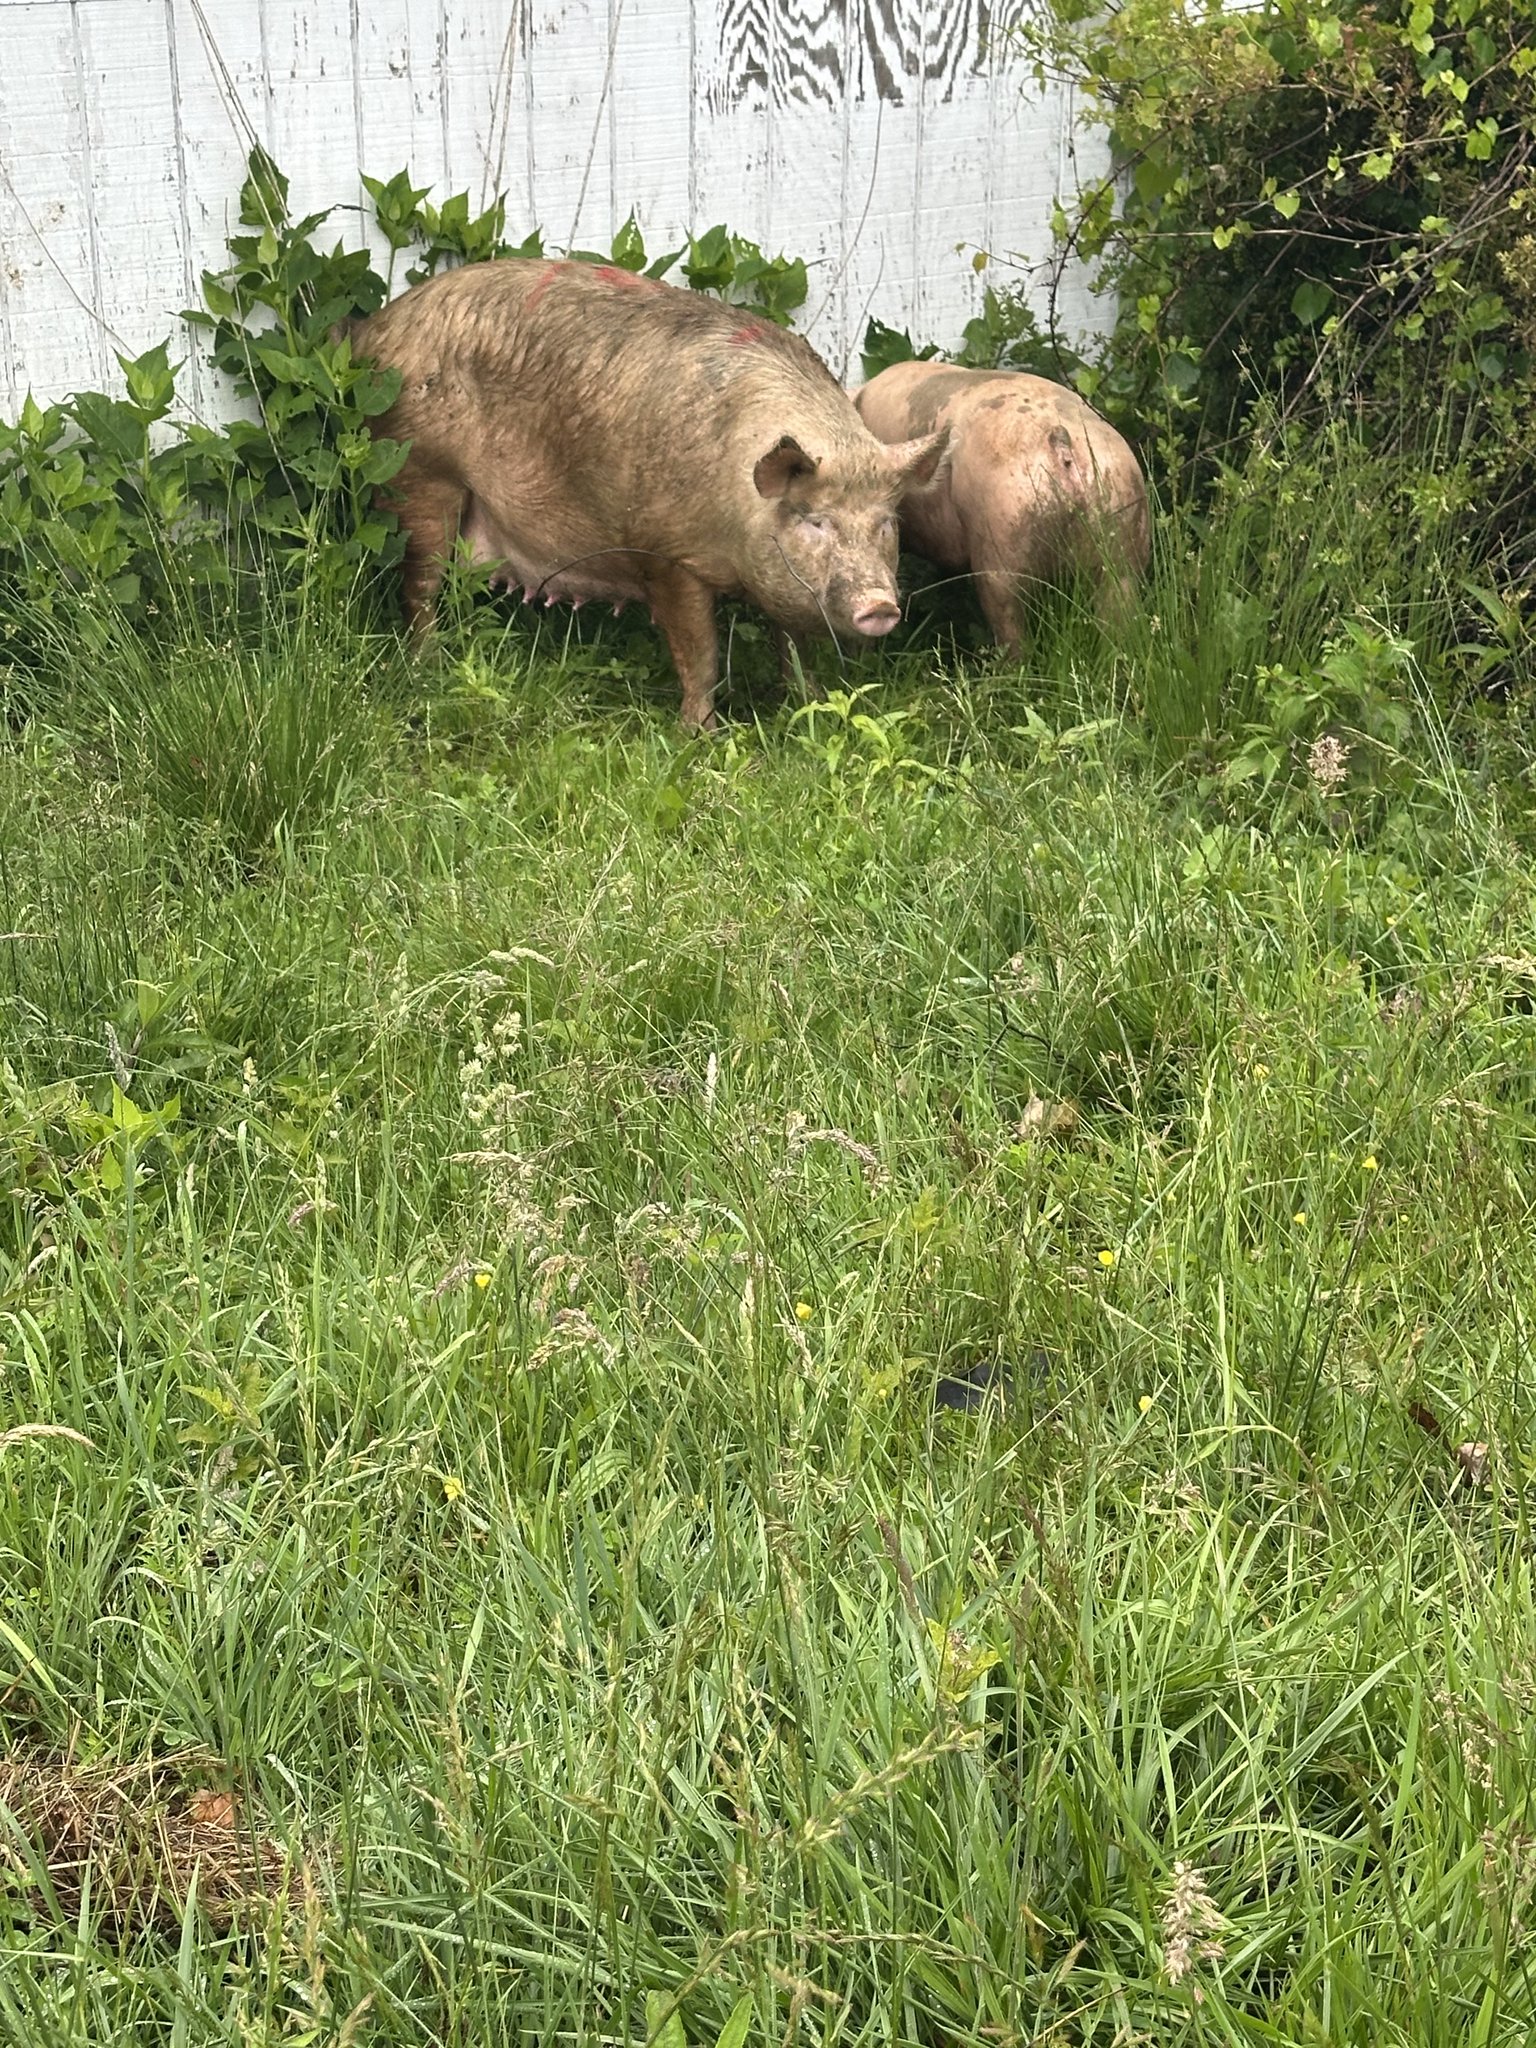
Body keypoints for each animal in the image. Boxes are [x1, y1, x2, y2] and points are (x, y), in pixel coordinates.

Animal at [348, 260, 950, 730]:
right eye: (813, 520)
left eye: (886, 523)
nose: (881, 606)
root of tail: (375, 329)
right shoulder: (668, 554)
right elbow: (700, 652)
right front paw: (700, 735)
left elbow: (793, 644)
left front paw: (813, 705)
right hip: (420, 474)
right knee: (420, 586)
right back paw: (428, 666)